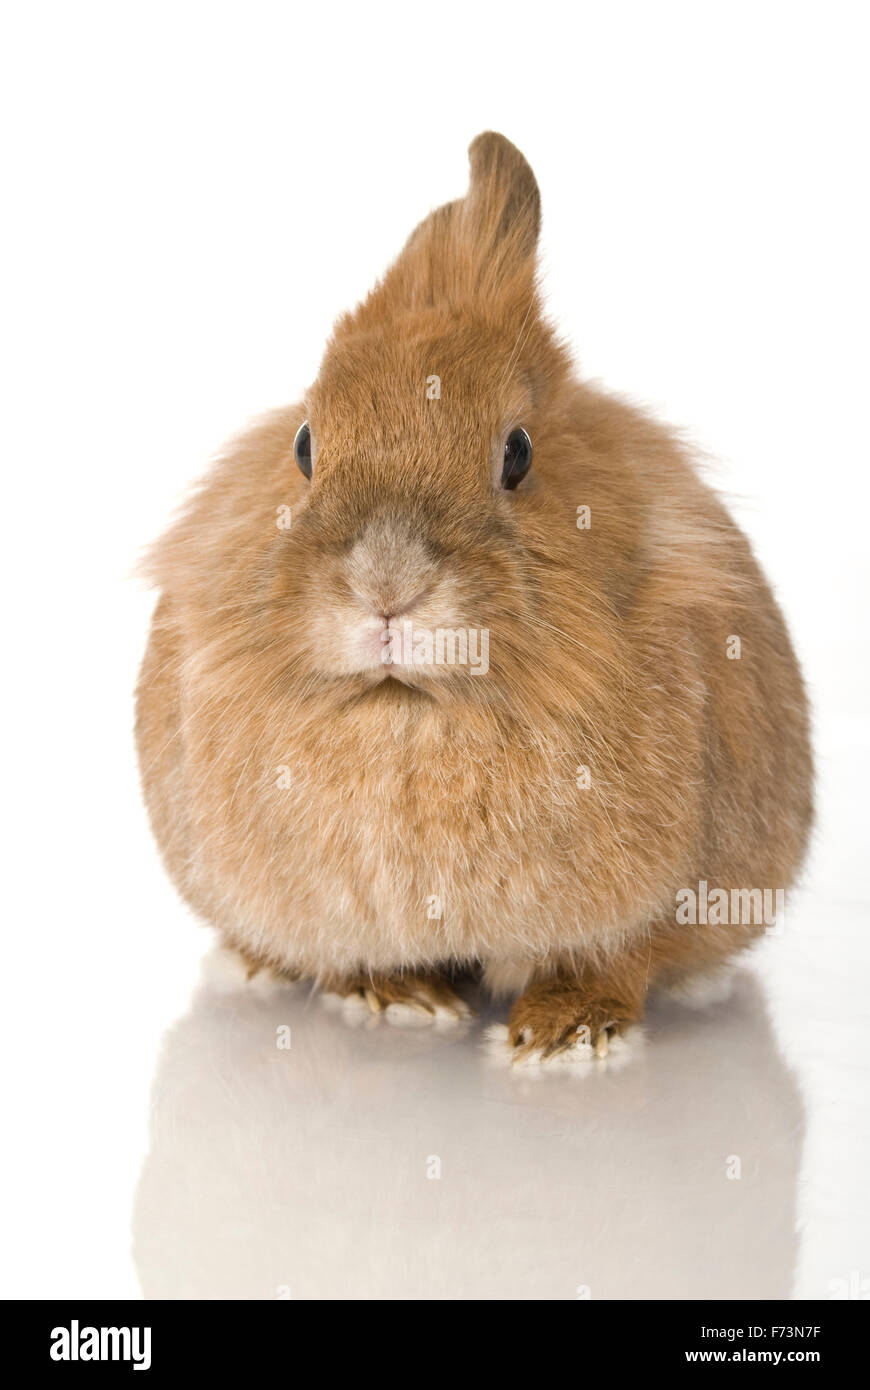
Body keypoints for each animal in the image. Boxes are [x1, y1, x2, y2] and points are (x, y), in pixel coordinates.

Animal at [136, 132, 813, 1066]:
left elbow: (620, 958)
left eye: (517, 453)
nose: (387, 586)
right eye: (305, 444)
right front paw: (399, 1002)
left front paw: (565, 1037)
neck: (408, 707)